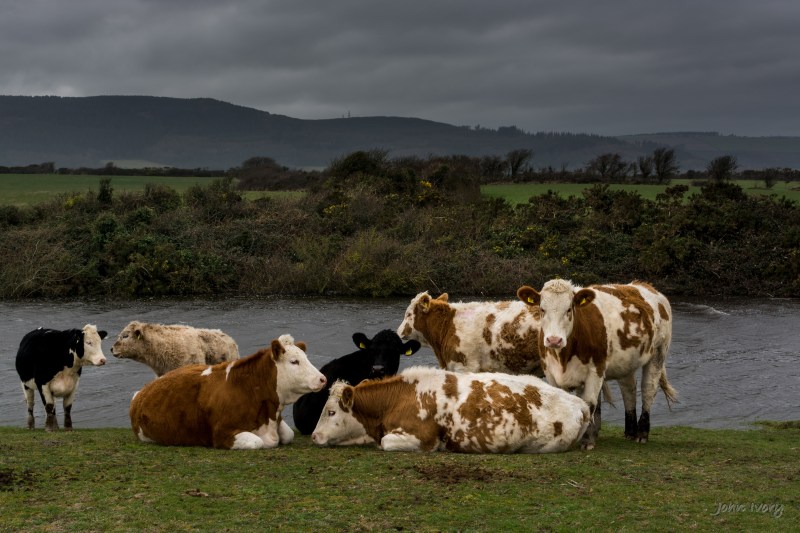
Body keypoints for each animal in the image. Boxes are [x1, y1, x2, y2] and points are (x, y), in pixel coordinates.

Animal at [129, 334, 326, 449]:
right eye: (294, 361)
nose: (322, 379)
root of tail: (141, 392)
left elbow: (289, 434)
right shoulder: (222, 434)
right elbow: (256, 442)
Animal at [517, 279, 677, 450]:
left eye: (569, 309)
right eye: (542, 309)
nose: (554, 340)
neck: (563, 358)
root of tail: (646, 286)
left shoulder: (596, 370)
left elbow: (590, 403)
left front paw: (587, 440)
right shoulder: (550, 372)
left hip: (658, 352)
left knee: (648, 389)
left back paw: (641, 433)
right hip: (626, 363)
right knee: (628, 389)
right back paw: (630, 432)